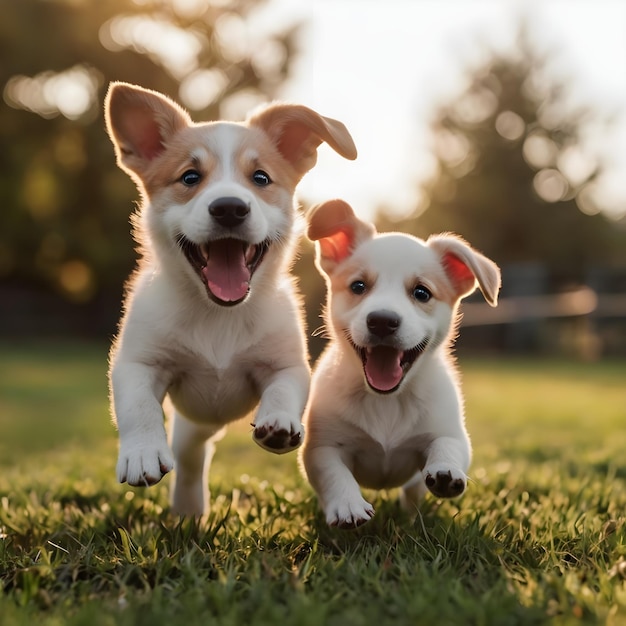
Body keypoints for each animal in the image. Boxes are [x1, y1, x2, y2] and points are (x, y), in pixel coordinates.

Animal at [105, 81, 354, 512]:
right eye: (190, 177)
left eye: (261, 177)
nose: (229, 208)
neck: (219, 314)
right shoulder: (139, 362)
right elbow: (139, 406)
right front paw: (142, 454)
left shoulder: (287, 363)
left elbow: (284, 388)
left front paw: (279, 423)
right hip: (192, 423)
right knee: (190, 457)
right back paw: (188, 510)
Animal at [300, 199, 500, 528]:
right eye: (358, 286)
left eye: (421, 292)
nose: (382, 321)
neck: (387, 400)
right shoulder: (322, 447)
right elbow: (335, 474)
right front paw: (347, 504)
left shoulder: (452, 433)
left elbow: (448, 445)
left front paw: (446, 471)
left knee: (413, 492)